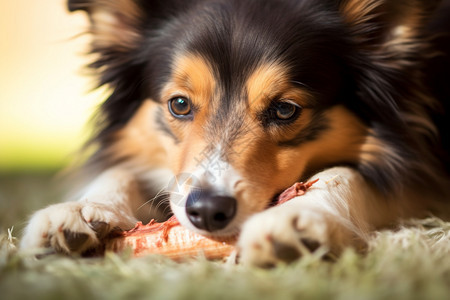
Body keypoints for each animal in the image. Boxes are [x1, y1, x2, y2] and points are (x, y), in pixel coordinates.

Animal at [20, 0, 450, 268]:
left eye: (285, 109)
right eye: (179, 104)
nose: (208, 211)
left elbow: (343, 174)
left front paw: (299, 217)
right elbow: (121, 170)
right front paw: (82, 209)